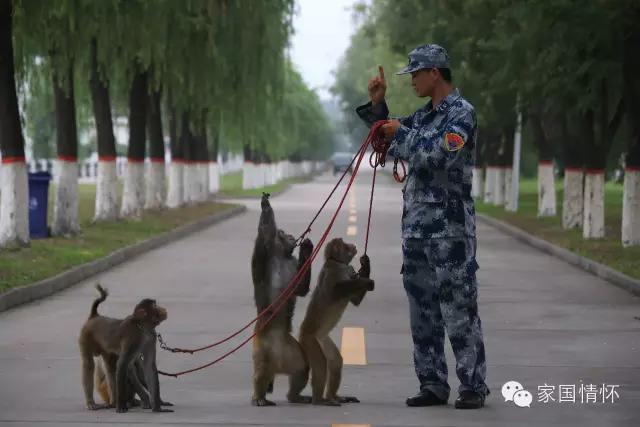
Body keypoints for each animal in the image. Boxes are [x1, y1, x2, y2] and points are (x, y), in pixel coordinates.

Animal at [251, 194, 316, 408]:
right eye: (285, 233)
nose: (290, 235)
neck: (282, 255)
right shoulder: (266, 252)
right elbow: (264, 236)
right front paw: (265, 207)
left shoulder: (293, 261)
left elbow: (301, 289)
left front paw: (307, 249)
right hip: (262, 346)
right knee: (261, 371)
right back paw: (258, 396)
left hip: (290, 352)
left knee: (302, 367)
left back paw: (294, 396)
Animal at [300, 239, 376, 406]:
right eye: (345, 244)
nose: (352, 245)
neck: (338, 263)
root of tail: (302, 332)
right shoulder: (332, 272)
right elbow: (334, 290)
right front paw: (364, 280)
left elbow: (355, 300)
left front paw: (366, 264)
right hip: (310, 341)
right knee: (321, 364)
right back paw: (319, 400)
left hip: (323, 339)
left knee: (335, 362)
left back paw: (333, 396)